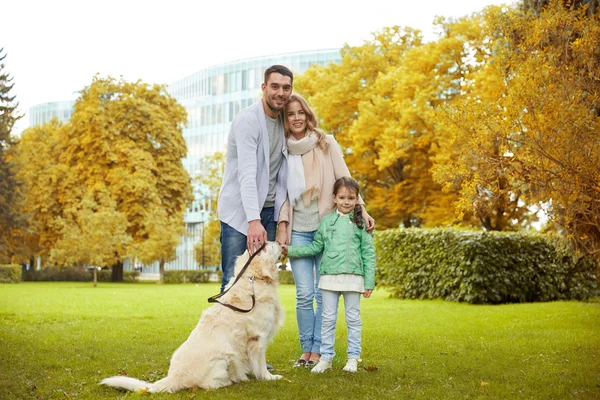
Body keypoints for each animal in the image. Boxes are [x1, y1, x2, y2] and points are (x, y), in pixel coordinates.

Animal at [100, 242, 284, 392]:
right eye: (266, 246)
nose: (279, 242)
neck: (254, 280)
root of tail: (173, 377)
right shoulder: (258, 338)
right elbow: (260, 363)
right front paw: (269, 377)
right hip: (225, 357)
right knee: (208, 385)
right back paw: (230, 381)